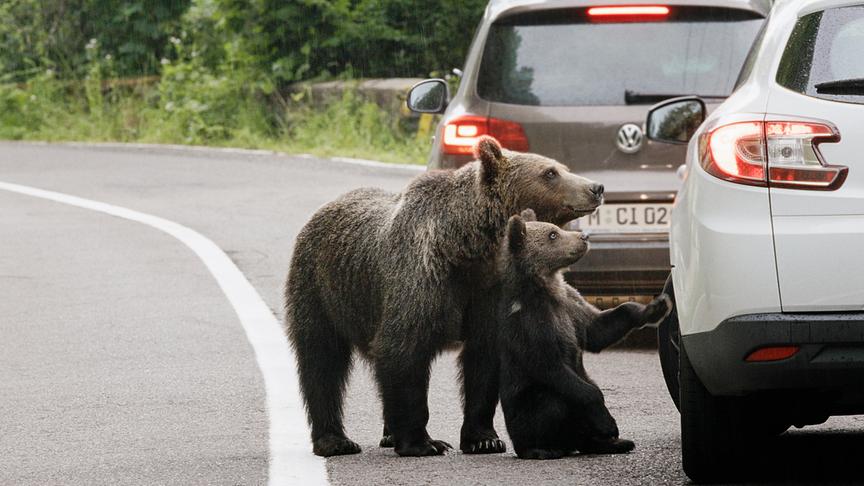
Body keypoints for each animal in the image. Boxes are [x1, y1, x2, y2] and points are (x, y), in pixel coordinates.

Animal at [284, 136, 600, 456]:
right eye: (549, 173)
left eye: (563, 167)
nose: (595, 188)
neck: (465, 248)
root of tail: (324, 208)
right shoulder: (420, 280)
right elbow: (403, 352)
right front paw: (423, 442)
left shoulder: (488, 292)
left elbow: (483, 361)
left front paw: (484, 438)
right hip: (319, 287)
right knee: (321, 360)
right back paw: (335, 440)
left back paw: (388, 433)